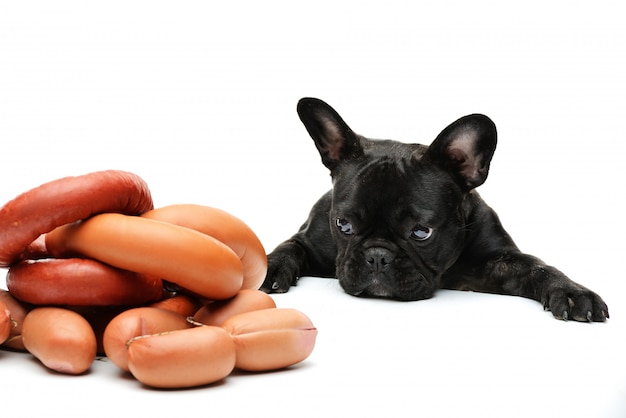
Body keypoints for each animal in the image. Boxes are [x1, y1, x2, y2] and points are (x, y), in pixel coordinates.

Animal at [260, 98, 608, 324]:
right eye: (343, 225)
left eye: (421, 232)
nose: (377, 256)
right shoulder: (311, 239)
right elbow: (288, 247)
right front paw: (269, 267)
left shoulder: (501, 261)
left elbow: (538, 267)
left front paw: (571, 290)